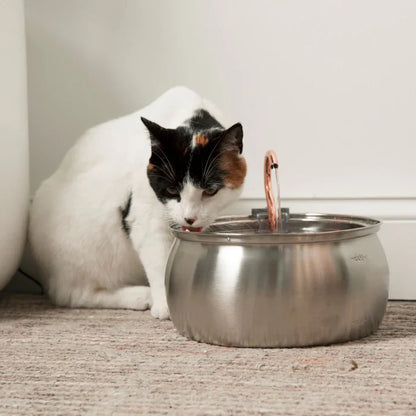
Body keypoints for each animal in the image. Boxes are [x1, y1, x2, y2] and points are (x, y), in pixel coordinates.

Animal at [29, 85, 247, 318]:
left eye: (210, 191)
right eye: (171, 189)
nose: (189, 218)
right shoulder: (145, 219)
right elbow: (158, 263)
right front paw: (166, 306)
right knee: (75, 294)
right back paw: (140, 295)